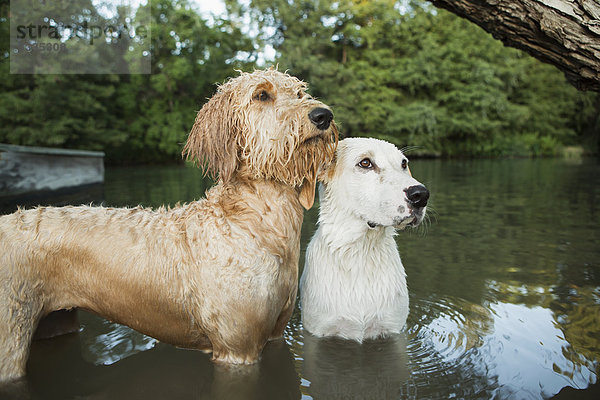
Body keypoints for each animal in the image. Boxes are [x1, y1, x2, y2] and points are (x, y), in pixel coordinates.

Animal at [302, 137, 428, 340]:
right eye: (366, 163)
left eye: (403, 163)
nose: (421, 195)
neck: (360, 253)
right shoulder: (317, 330)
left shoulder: (394, 329)